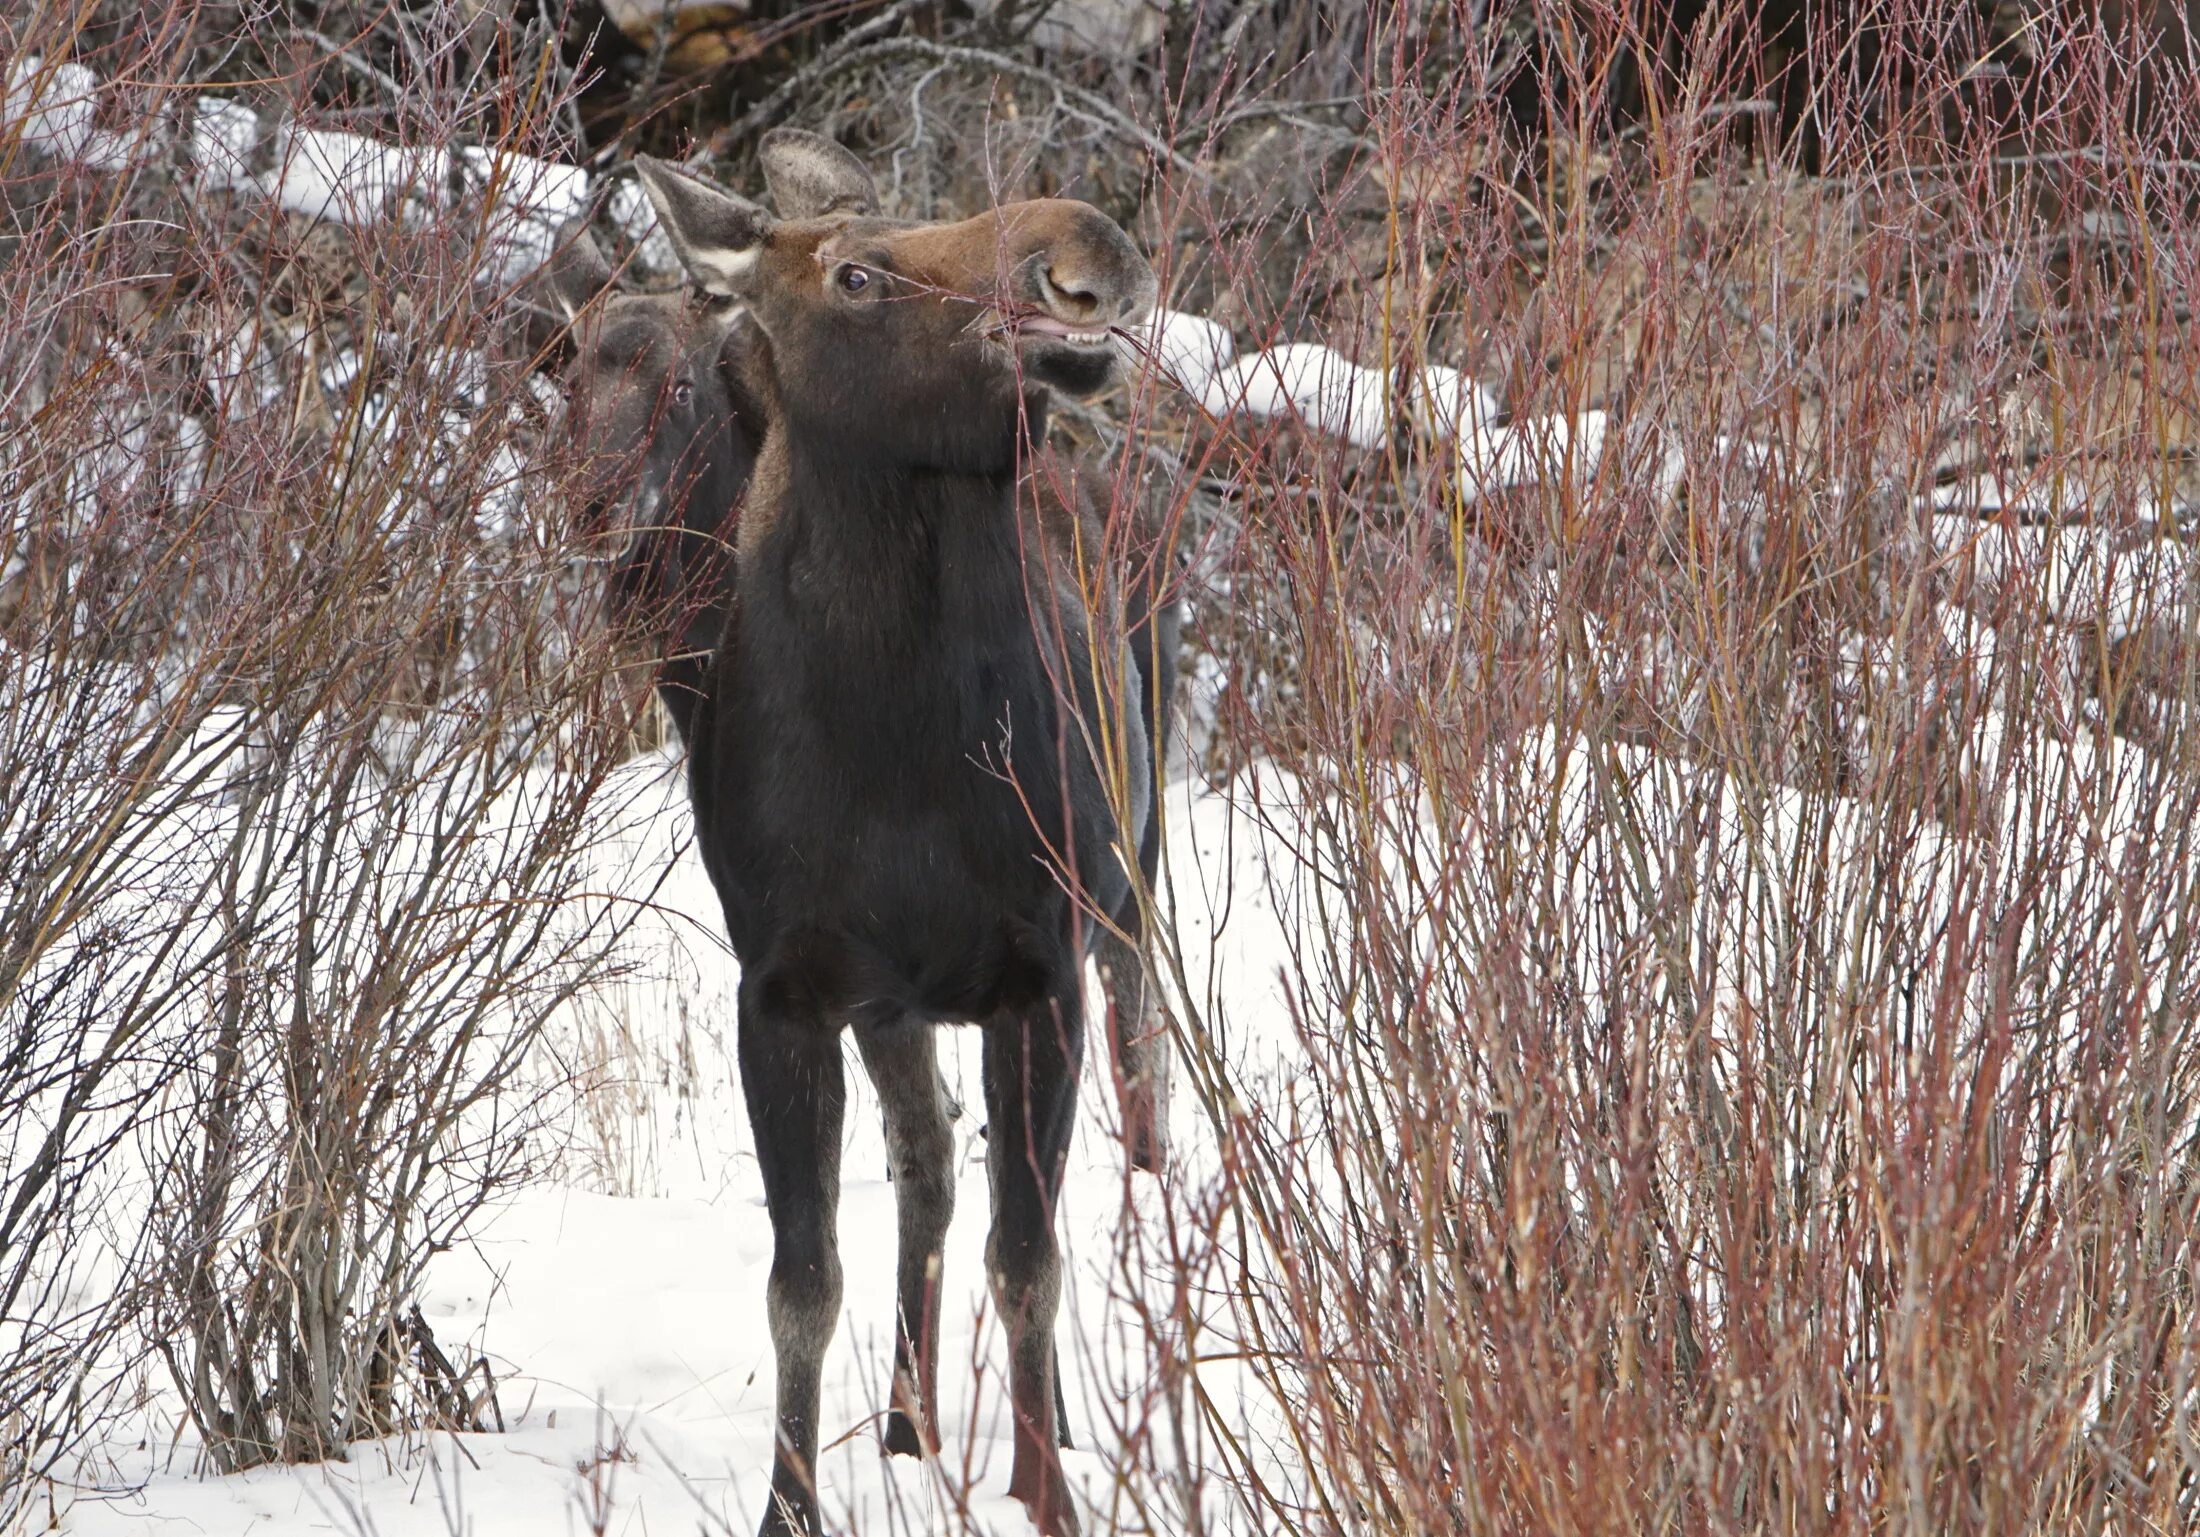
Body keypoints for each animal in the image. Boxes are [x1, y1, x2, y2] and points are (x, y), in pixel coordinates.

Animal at [576, 135, 1179, 1537]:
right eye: (857, 271)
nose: (1089, 252)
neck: (894, 740)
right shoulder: (789, 989)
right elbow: (804, 1283)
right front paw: (791, 1503)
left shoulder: (1039, 973)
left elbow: (1029, 1261)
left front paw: (1046, 1492)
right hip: (905, 1004)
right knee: (930, 1161)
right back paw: (909, 1420)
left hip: (1133, 886)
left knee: (1136, 1110)